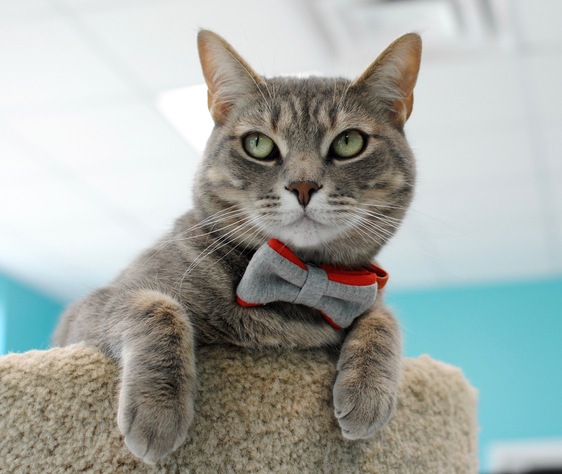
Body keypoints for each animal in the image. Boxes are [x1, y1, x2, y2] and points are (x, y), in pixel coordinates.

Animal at [52, 28, 420, 462]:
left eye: (349, 142)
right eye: (258, 144)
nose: (303, 186)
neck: (301, 280)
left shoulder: (365, 290)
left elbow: (383, 319)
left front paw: (368, 394)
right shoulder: (86, 314)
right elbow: (157, 306)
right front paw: (159, 409)